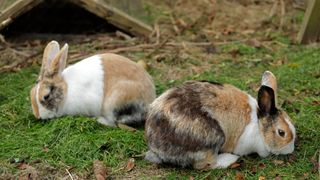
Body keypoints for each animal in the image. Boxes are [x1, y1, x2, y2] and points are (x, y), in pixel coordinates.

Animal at [29, 40, 157, 126]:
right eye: (31, 93)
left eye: (46, 96)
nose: (38, 116)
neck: (67, 90)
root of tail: (149, 100)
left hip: (112, 103)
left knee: (112, 122)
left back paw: (99, 120)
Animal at [144, 71, 296, 169]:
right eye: (281, 132)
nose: (290, 150)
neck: (259, 124)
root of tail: (157, 148)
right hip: (213, 138)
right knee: (205, 165)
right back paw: (230, 159)